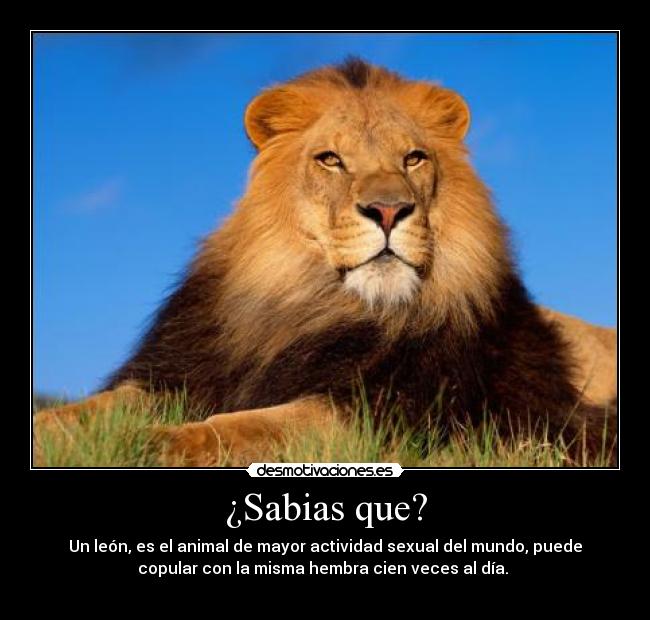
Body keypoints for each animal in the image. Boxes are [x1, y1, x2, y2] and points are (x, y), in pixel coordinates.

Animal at [34, 58, 617, 465]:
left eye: (414, 158)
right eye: (330, 160)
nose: (389, 209)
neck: (312, 303)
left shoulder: (382, 412)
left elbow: (241, 427)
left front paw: (150, 443)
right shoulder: (179, 375)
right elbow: (92, 408)